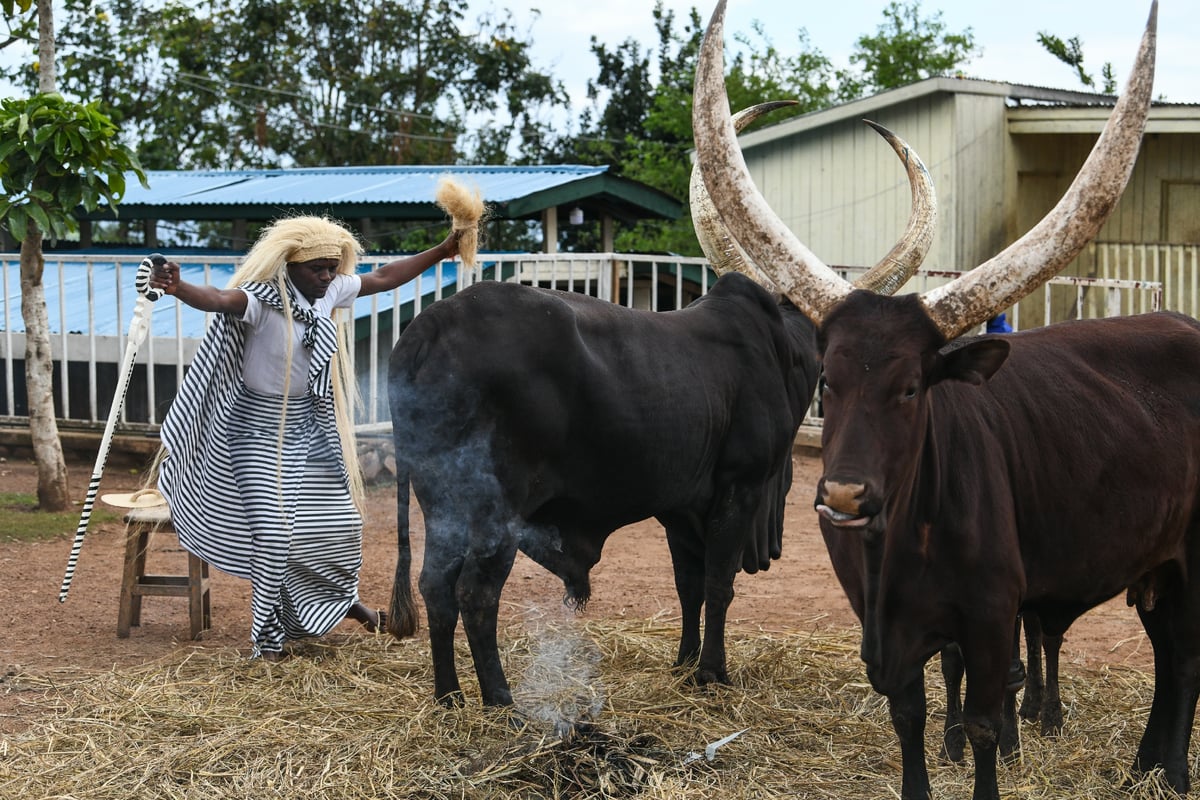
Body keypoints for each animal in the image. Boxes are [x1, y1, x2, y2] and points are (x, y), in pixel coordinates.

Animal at [696, 1, 1200, 800]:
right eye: (827, 380)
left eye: (911, 387)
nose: (843, 494)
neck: (900, 549)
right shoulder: (887, 632)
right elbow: (910, 716)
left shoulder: (992, 619)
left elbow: (990, 719)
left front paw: (992, 749)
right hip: (1156, 562)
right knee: (1168, 651)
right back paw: (1145, 767)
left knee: (1183, 658)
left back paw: (1171, 774)